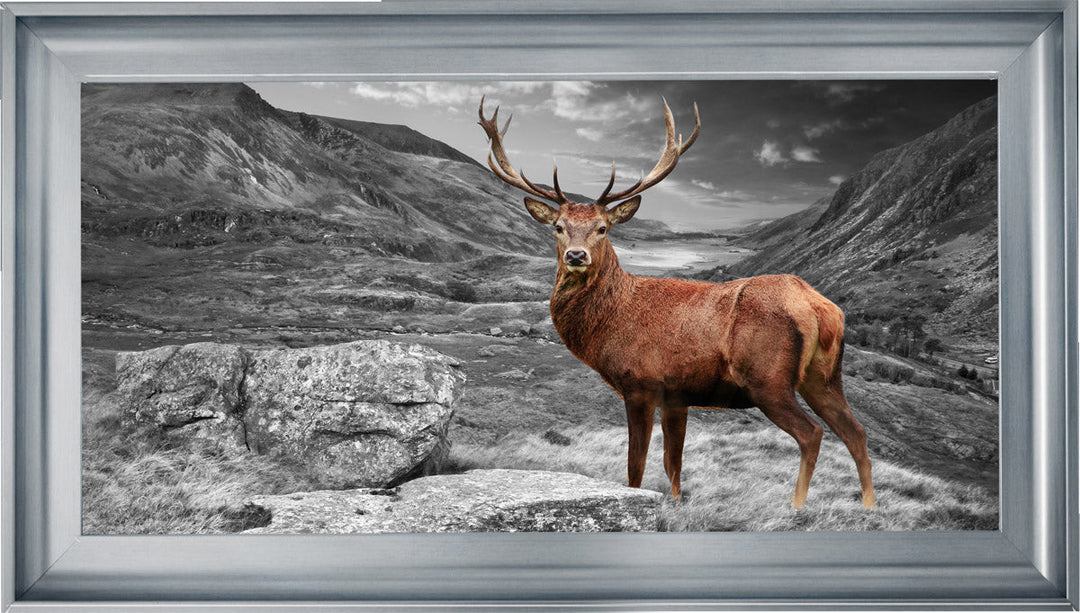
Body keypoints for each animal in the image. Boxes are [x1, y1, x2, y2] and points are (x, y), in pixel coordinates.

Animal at [477, 96, 875, 510]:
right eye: (558, 227)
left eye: (603, 228)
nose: (575, 255)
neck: (610, 325)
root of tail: (821, 308)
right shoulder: (677, 396)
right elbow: (674, 465)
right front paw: (677, 504)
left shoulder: (641, 384)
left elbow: (636, 467)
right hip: (824, 377)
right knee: (856, 432)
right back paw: (869, 506)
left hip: (768, 379)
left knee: (812, 433)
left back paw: (796, 507)